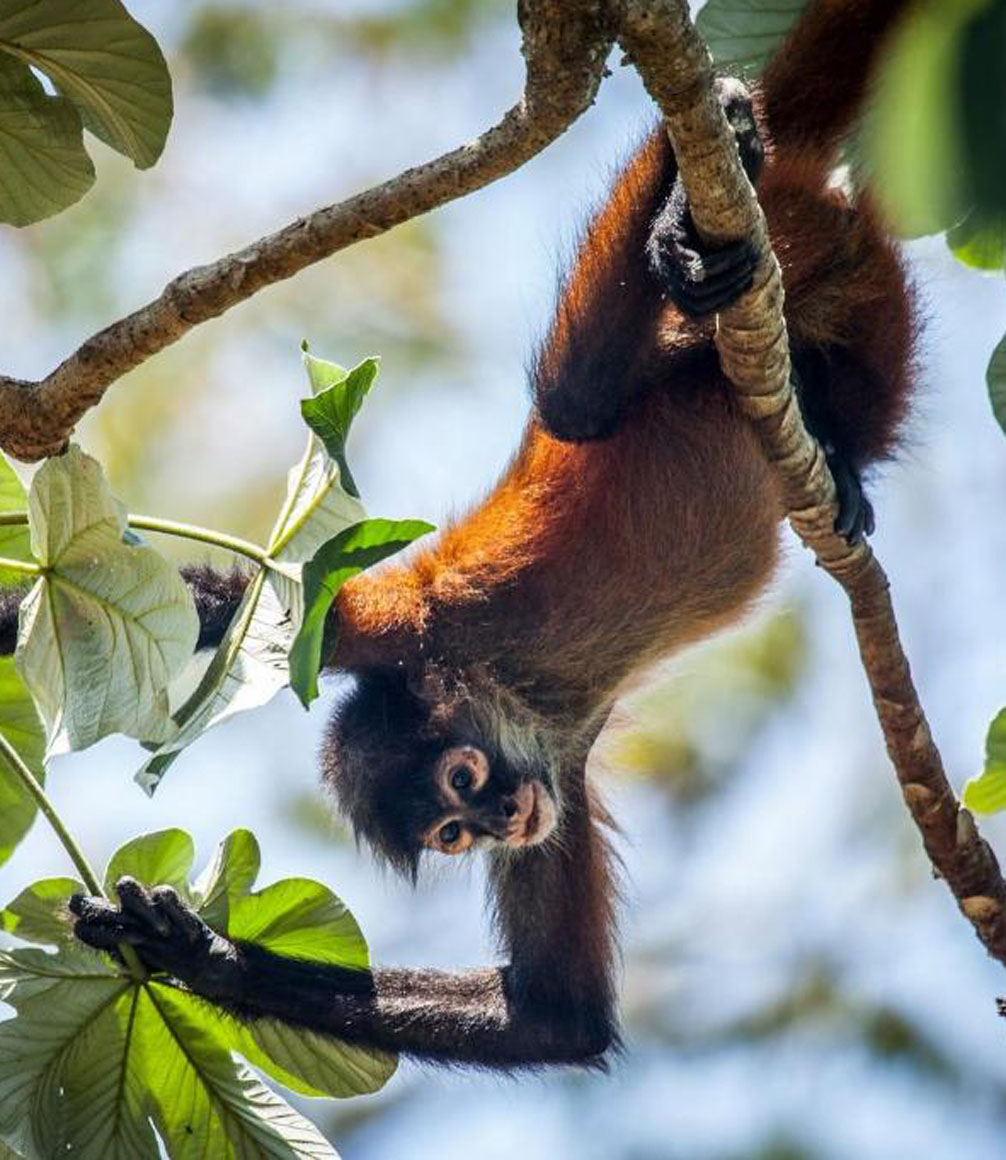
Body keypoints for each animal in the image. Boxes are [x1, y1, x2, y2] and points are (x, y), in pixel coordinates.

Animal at [7, 0, 921, 1070]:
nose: (499, 819)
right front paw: (195, 953)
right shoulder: (559, 774)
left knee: (573, 396)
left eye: (464, 779)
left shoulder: (409, 627)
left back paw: (691, 206)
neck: (514, 690)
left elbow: (223, 605)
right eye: (451, 834)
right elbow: (557, 1016)